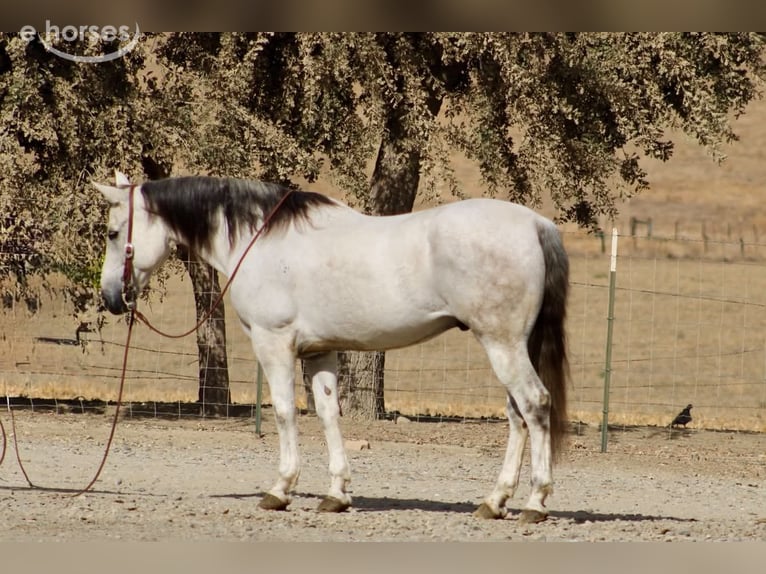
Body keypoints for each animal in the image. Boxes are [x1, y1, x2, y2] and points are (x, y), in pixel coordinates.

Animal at [95, 171, 569, 523]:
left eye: (113, 233)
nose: (111, 297)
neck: (261, 241)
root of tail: (535, 224)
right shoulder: (319, 352)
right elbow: (327, 415)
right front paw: (336, 494)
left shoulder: (274, 343)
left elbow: (284, 412)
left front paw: (280, 489)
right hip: (511, 346)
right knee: (517, 415)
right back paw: (495, 501)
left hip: (502, 344)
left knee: (534, 404)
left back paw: (535, 502)